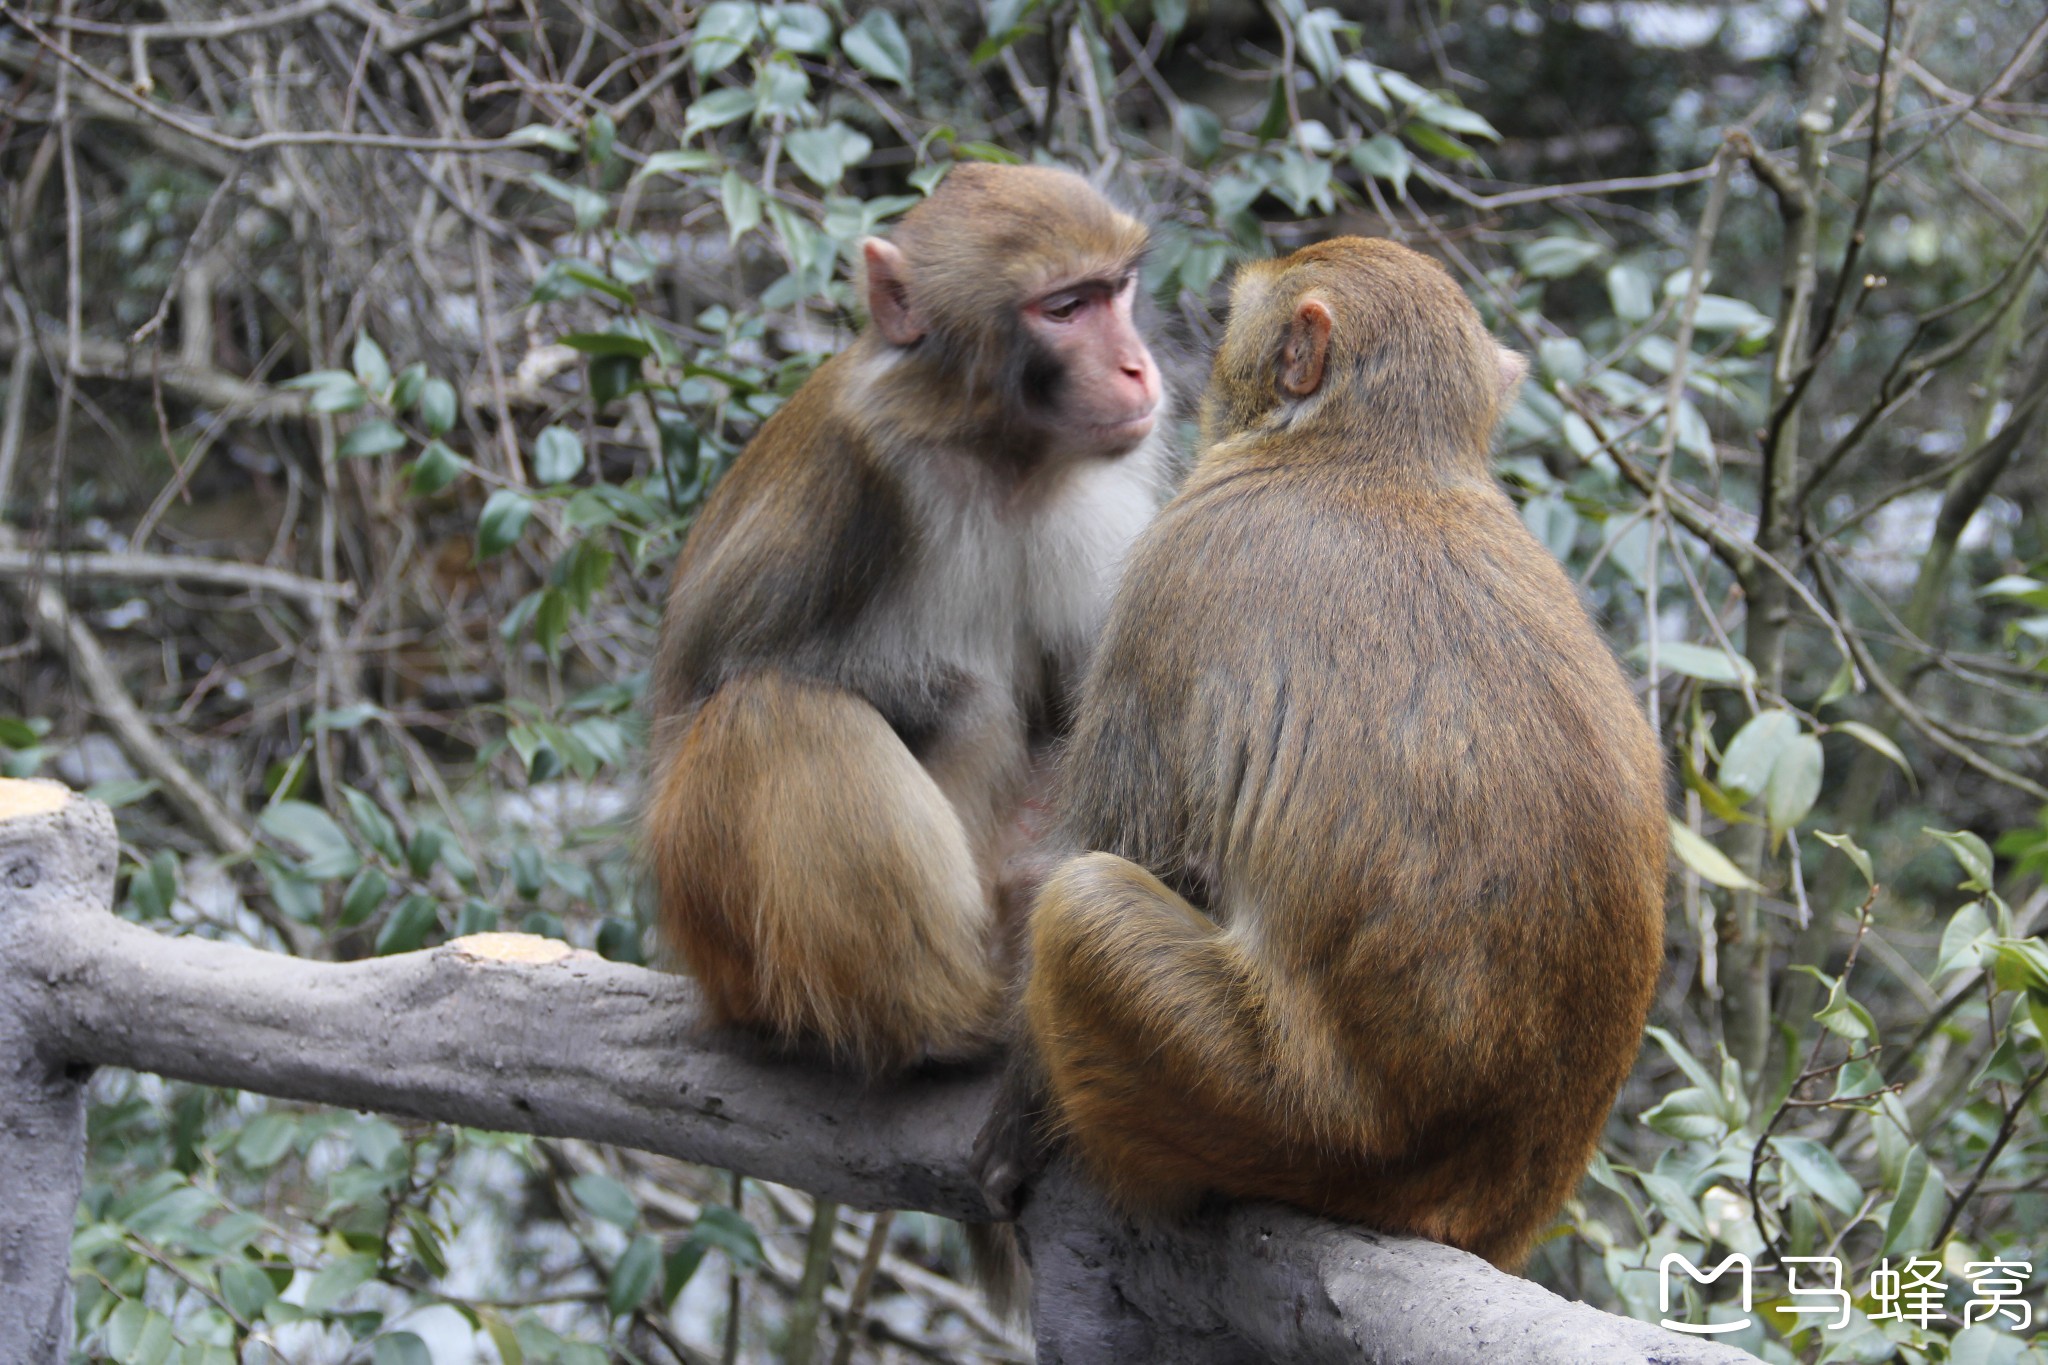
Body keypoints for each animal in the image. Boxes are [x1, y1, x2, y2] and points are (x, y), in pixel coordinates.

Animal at [647, 162, 1179, 1080]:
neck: (1004, 454)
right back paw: (951, 1023)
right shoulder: (855, 467)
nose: (1137, 367)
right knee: (773, 712)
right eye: (1063, 308)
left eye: (1117, 290)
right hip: (721, 941)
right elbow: (710, 686)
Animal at [983, 235, 1671, 1268]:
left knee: (1085, 906)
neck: (1372, 455)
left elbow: (1129, 838)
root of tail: (1459, 1204)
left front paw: (1010, 1129)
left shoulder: (1176, 561)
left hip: (1277, 1115)